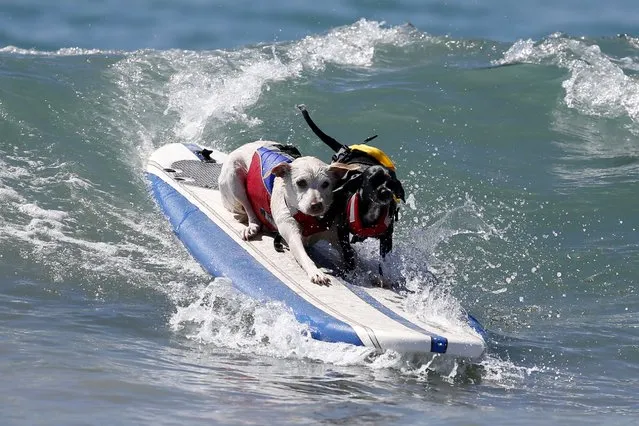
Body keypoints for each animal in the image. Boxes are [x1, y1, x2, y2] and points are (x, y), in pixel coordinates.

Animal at [219, 141, 350, 284]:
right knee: (248, 208)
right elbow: (303, 255)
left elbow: (350, 257)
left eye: (326, 184)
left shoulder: (335, 236)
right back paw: (252, 227)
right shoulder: (292, 233)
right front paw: (315, 272)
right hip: (234, 177)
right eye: (301, 182)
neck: (309, 218)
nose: (316, 205)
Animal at [296, 104, 404, 282]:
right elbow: (348, 253)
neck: (370, 212)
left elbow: (383, 261)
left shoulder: (387, 238)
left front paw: (383, 277)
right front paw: (350, 269)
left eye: (391, 184)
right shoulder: (342, 229)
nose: (386, 192)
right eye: (373, 180)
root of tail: (346, 148)